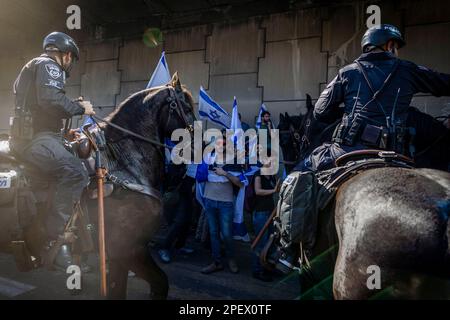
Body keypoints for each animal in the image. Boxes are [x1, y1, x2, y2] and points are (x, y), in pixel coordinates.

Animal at [0, 72, 197, 300]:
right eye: (187, 108)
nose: (202, 146)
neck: (123, 164)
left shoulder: (118, 255)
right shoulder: (126, 249)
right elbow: (159, 283)